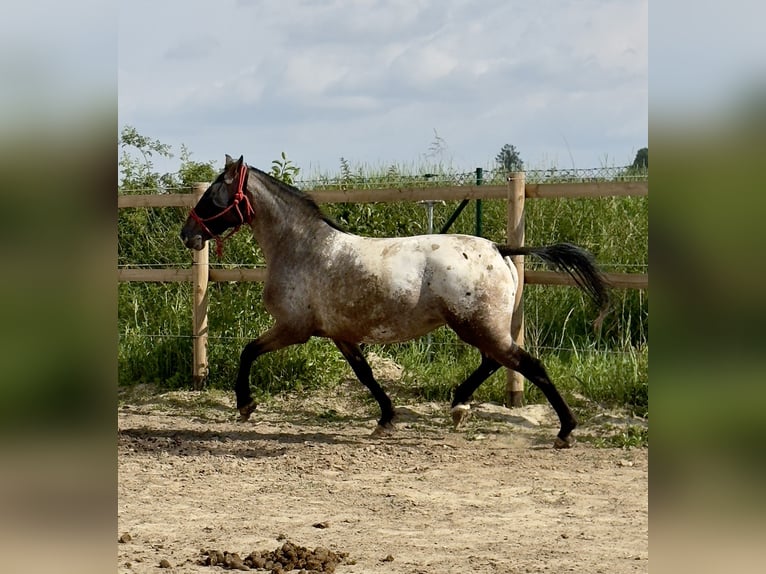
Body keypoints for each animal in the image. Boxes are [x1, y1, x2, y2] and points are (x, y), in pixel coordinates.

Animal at [180, 156, 612, 450]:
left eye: (213, 195)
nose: (187, 235)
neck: (303, 249)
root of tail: (498, 248)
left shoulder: (294, 329)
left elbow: (248, 351)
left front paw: (245, 405)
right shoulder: (341, 334)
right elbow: (366, 374)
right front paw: (386, 419)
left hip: (476, 326)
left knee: (528, 364)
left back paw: (564, 431)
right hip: (480, 327)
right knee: (496, 361)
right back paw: (458, 408)